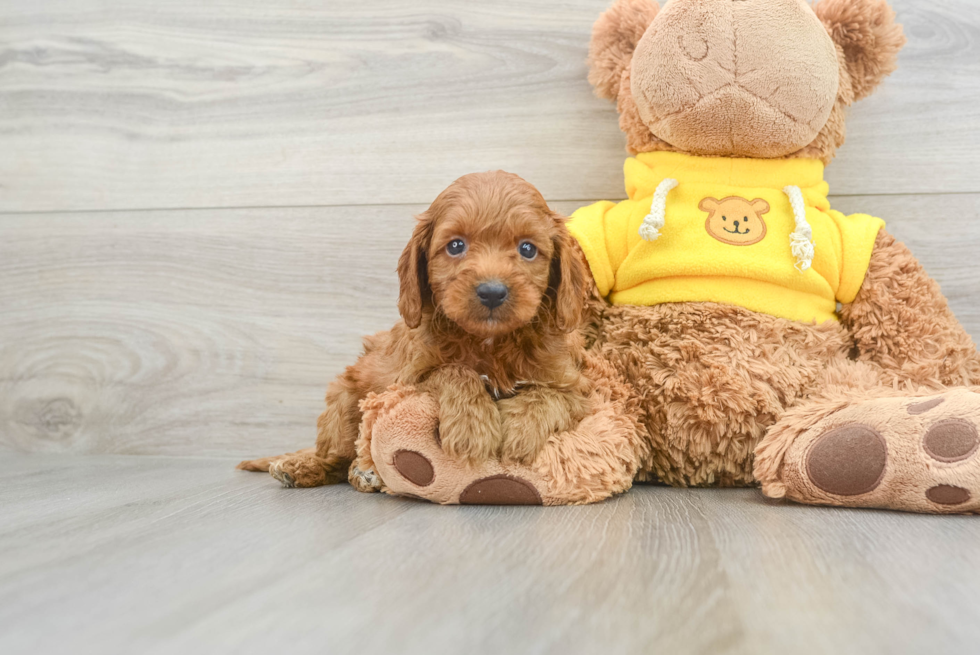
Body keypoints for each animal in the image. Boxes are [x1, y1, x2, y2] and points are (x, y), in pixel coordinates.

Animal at [238, 172, 592, 490]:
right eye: (456, 246)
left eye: (528, 249)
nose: (492, 292)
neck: (489, 342)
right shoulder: (409, 378)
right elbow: (454, 371)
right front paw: (472, 428)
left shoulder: (575, 387)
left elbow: (549, 395)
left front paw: (522, 430)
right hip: (343, 400)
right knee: (336, 456)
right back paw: (311, 467)